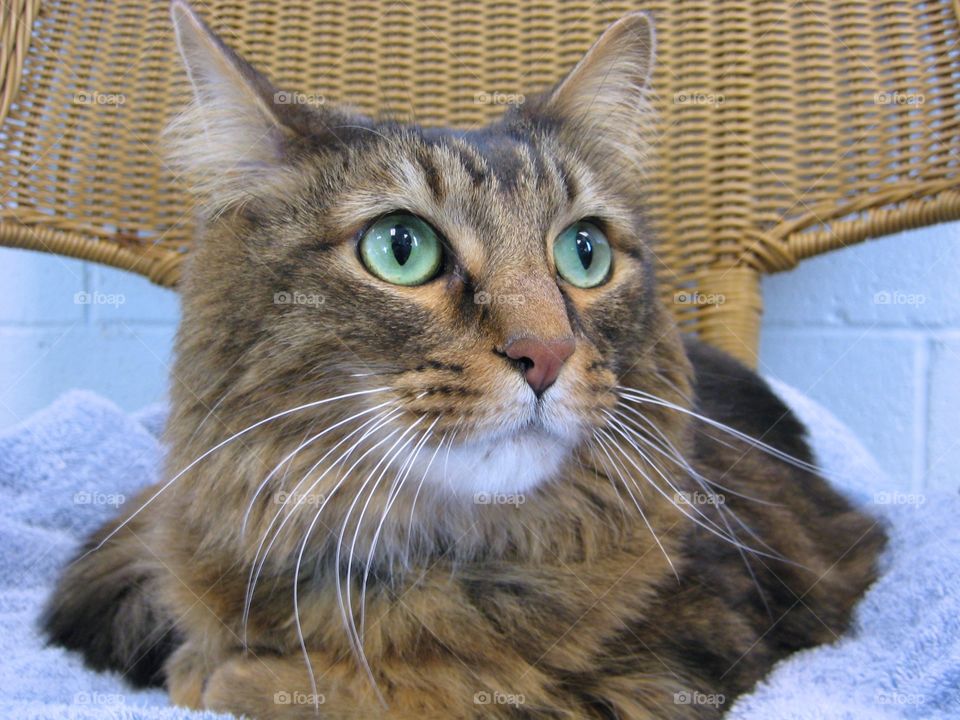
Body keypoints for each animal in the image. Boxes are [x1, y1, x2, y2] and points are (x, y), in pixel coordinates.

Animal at [43, 2, 884, 716]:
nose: (546, 352)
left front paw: (243, 678)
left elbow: (413, 692)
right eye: (401, 247)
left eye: (585, 252)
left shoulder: (690, 659)